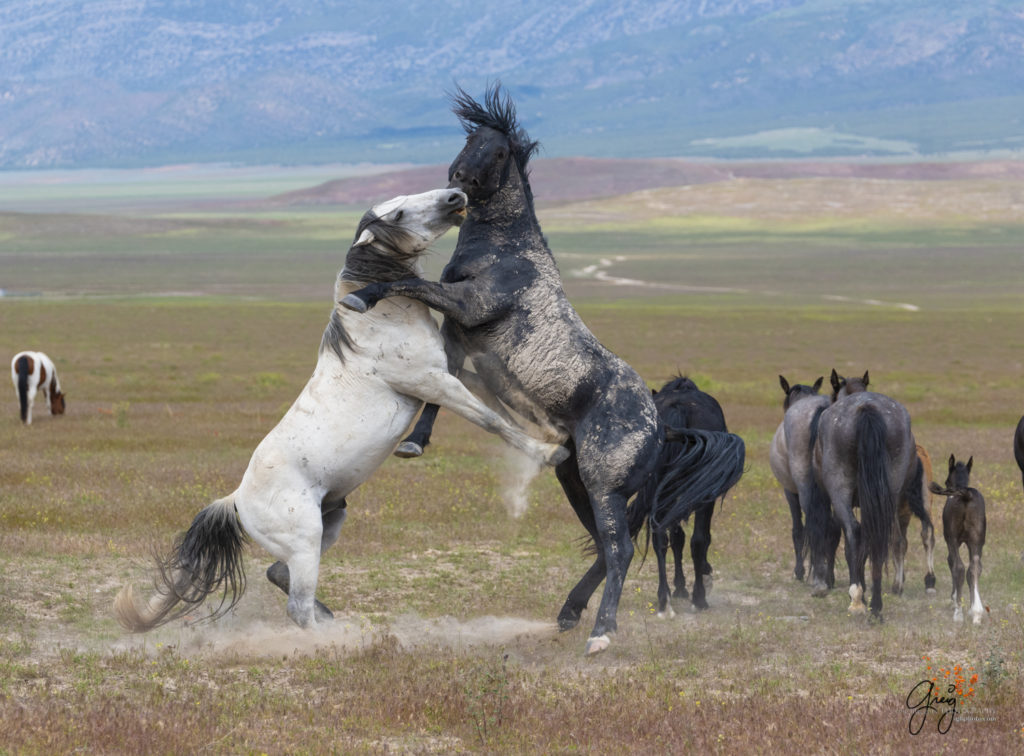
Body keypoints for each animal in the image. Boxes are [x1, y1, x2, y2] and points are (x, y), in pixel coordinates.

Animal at [117, 187, 577, 631]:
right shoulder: (434, 382)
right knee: (296, 606)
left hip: (332, 519)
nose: (455, 196)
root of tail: (235, 501)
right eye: (397, 215)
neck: (379, 322)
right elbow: (492, 419)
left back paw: (333, 621)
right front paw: (551, 452)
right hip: (305, 540)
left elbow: (506, 397)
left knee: (278, 575)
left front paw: (555, 428)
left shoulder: (449, 371)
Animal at [344, 85, 745, 655]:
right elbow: (441, 391)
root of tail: (660, 426)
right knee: (607, 546)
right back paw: (570, 612)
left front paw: (361, 296)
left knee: (620, 549)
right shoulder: (457, 335)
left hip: (602, 485)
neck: (507, 253)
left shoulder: (468, 305)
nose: (457, 184)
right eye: (469, 137)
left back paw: (601, 633)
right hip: (576, 479)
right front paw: (415, 443)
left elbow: (409, 285)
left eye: (497, 151)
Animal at [811, 389, 925, 618]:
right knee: (881, 539)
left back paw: (857, 600)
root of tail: (867, 407)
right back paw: (876, 607)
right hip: (888, 495)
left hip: (840, 491)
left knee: (854, 533)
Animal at [929, 456, 983, 622]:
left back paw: (958, 614)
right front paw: (972, 609)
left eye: (947, 481)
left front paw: (953, 600)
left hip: (952, 539)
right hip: (977, 541)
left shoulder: (951, 540)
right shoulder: (972, 543)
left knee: (959, 567)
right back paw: (977, 612)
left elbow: (951, 562)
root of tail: (965, 494)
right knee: (975, 567)